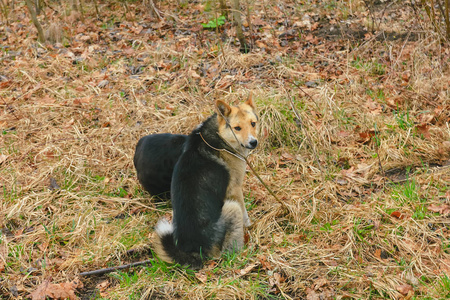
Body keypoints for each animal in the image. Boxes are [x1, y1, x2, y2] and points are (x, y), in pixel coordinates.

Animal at [155, 95, 260, 268]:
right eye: (237, 128)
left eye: (253, 123)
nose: (253, 142)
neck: (220, 135)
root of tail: (194, 251)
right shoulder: (235, 189)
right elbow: (246, 215)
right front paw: (250, 226)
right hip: (232, 208)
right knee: (228, 252)